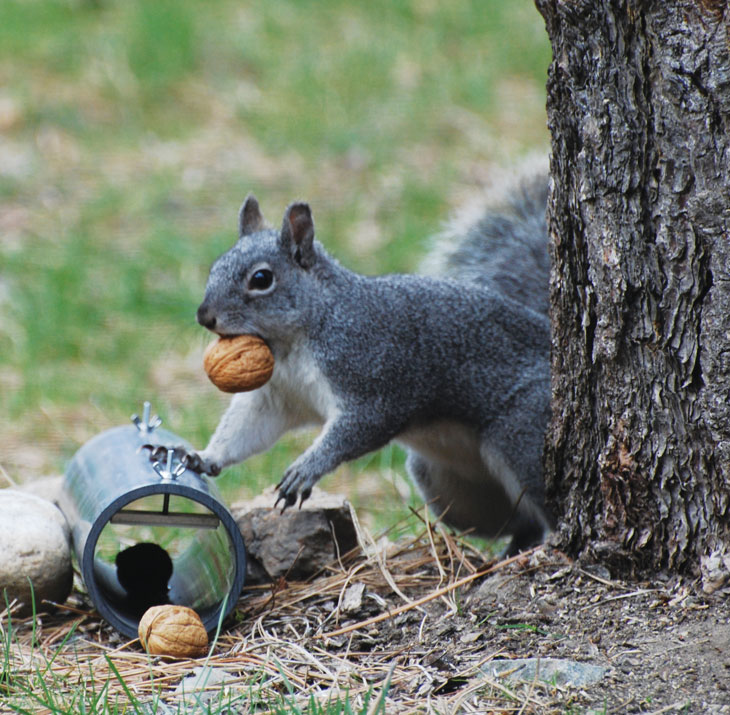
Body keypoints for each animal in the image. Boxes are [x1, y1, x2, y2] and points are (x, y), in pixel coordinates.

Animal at [189, 168, 552, 554]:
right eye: (215, 268)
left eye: (261, 279)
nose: (204, 316)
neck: (293, 342)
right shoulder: (278, 397)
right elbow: (245, 429)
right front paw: (204, 457)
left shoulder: (372, 376)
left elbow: (360, 427)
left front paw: (306, 468)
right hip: (449, 487)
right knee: (519, 521)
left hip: (522, 435)